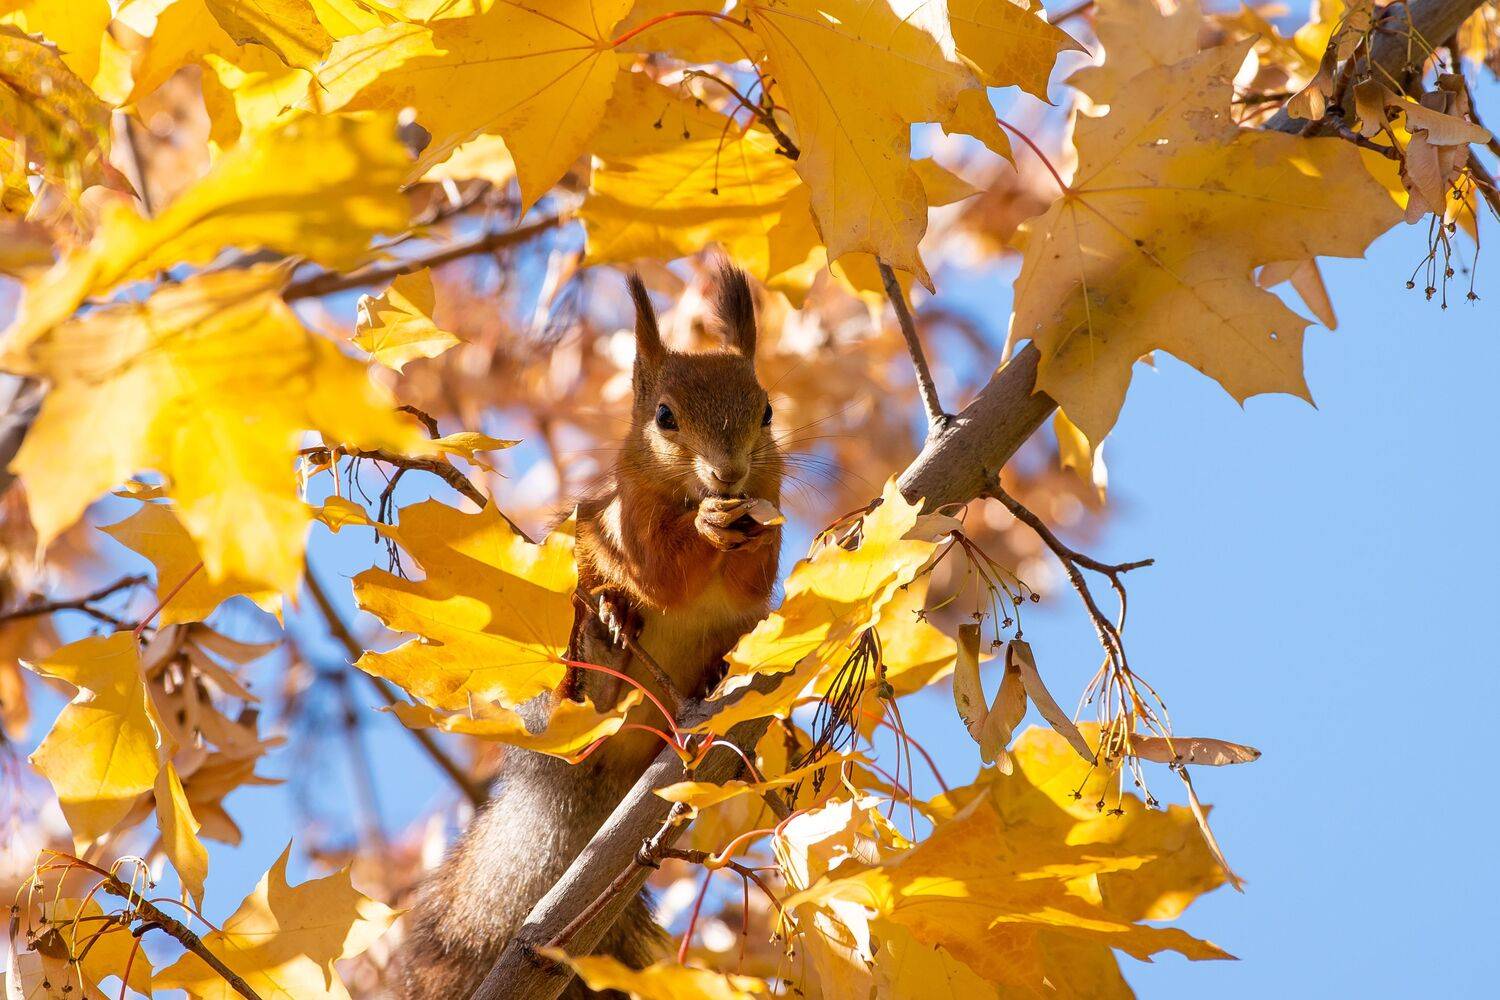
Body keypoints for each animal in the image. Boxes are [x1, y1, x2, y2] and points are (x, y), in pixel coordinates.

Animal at [396, 266, 784, 998]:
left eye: (768, 410)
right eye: (664, 416)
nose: (728, 473)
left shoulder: (759, 566)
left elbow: (756, 574)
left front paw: (745, 532)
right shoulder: (618, 523)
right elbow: (661, 571)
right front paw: (699, 536)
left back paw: (714, 675)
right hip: (565, 679)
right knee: (583, 673)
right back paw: (605, 633)